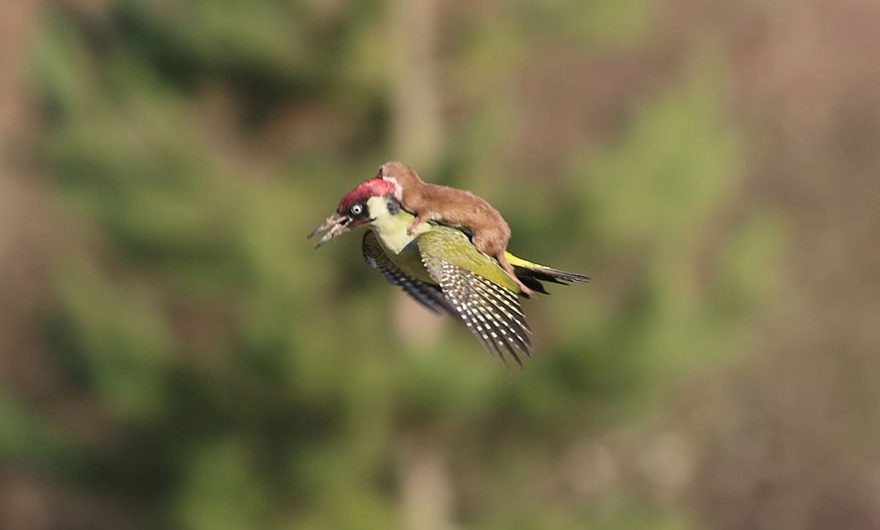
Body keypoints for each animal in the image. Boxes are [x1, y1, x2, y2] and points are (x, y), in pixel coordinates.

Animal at [376, 159, 532, 294]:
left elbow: (423, 216)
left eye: (378, 173)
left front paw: (412, 227)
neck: (408, 190)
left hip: (484, 236)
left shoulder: (422, 205)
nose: (375, 176)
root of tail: (503, 243)